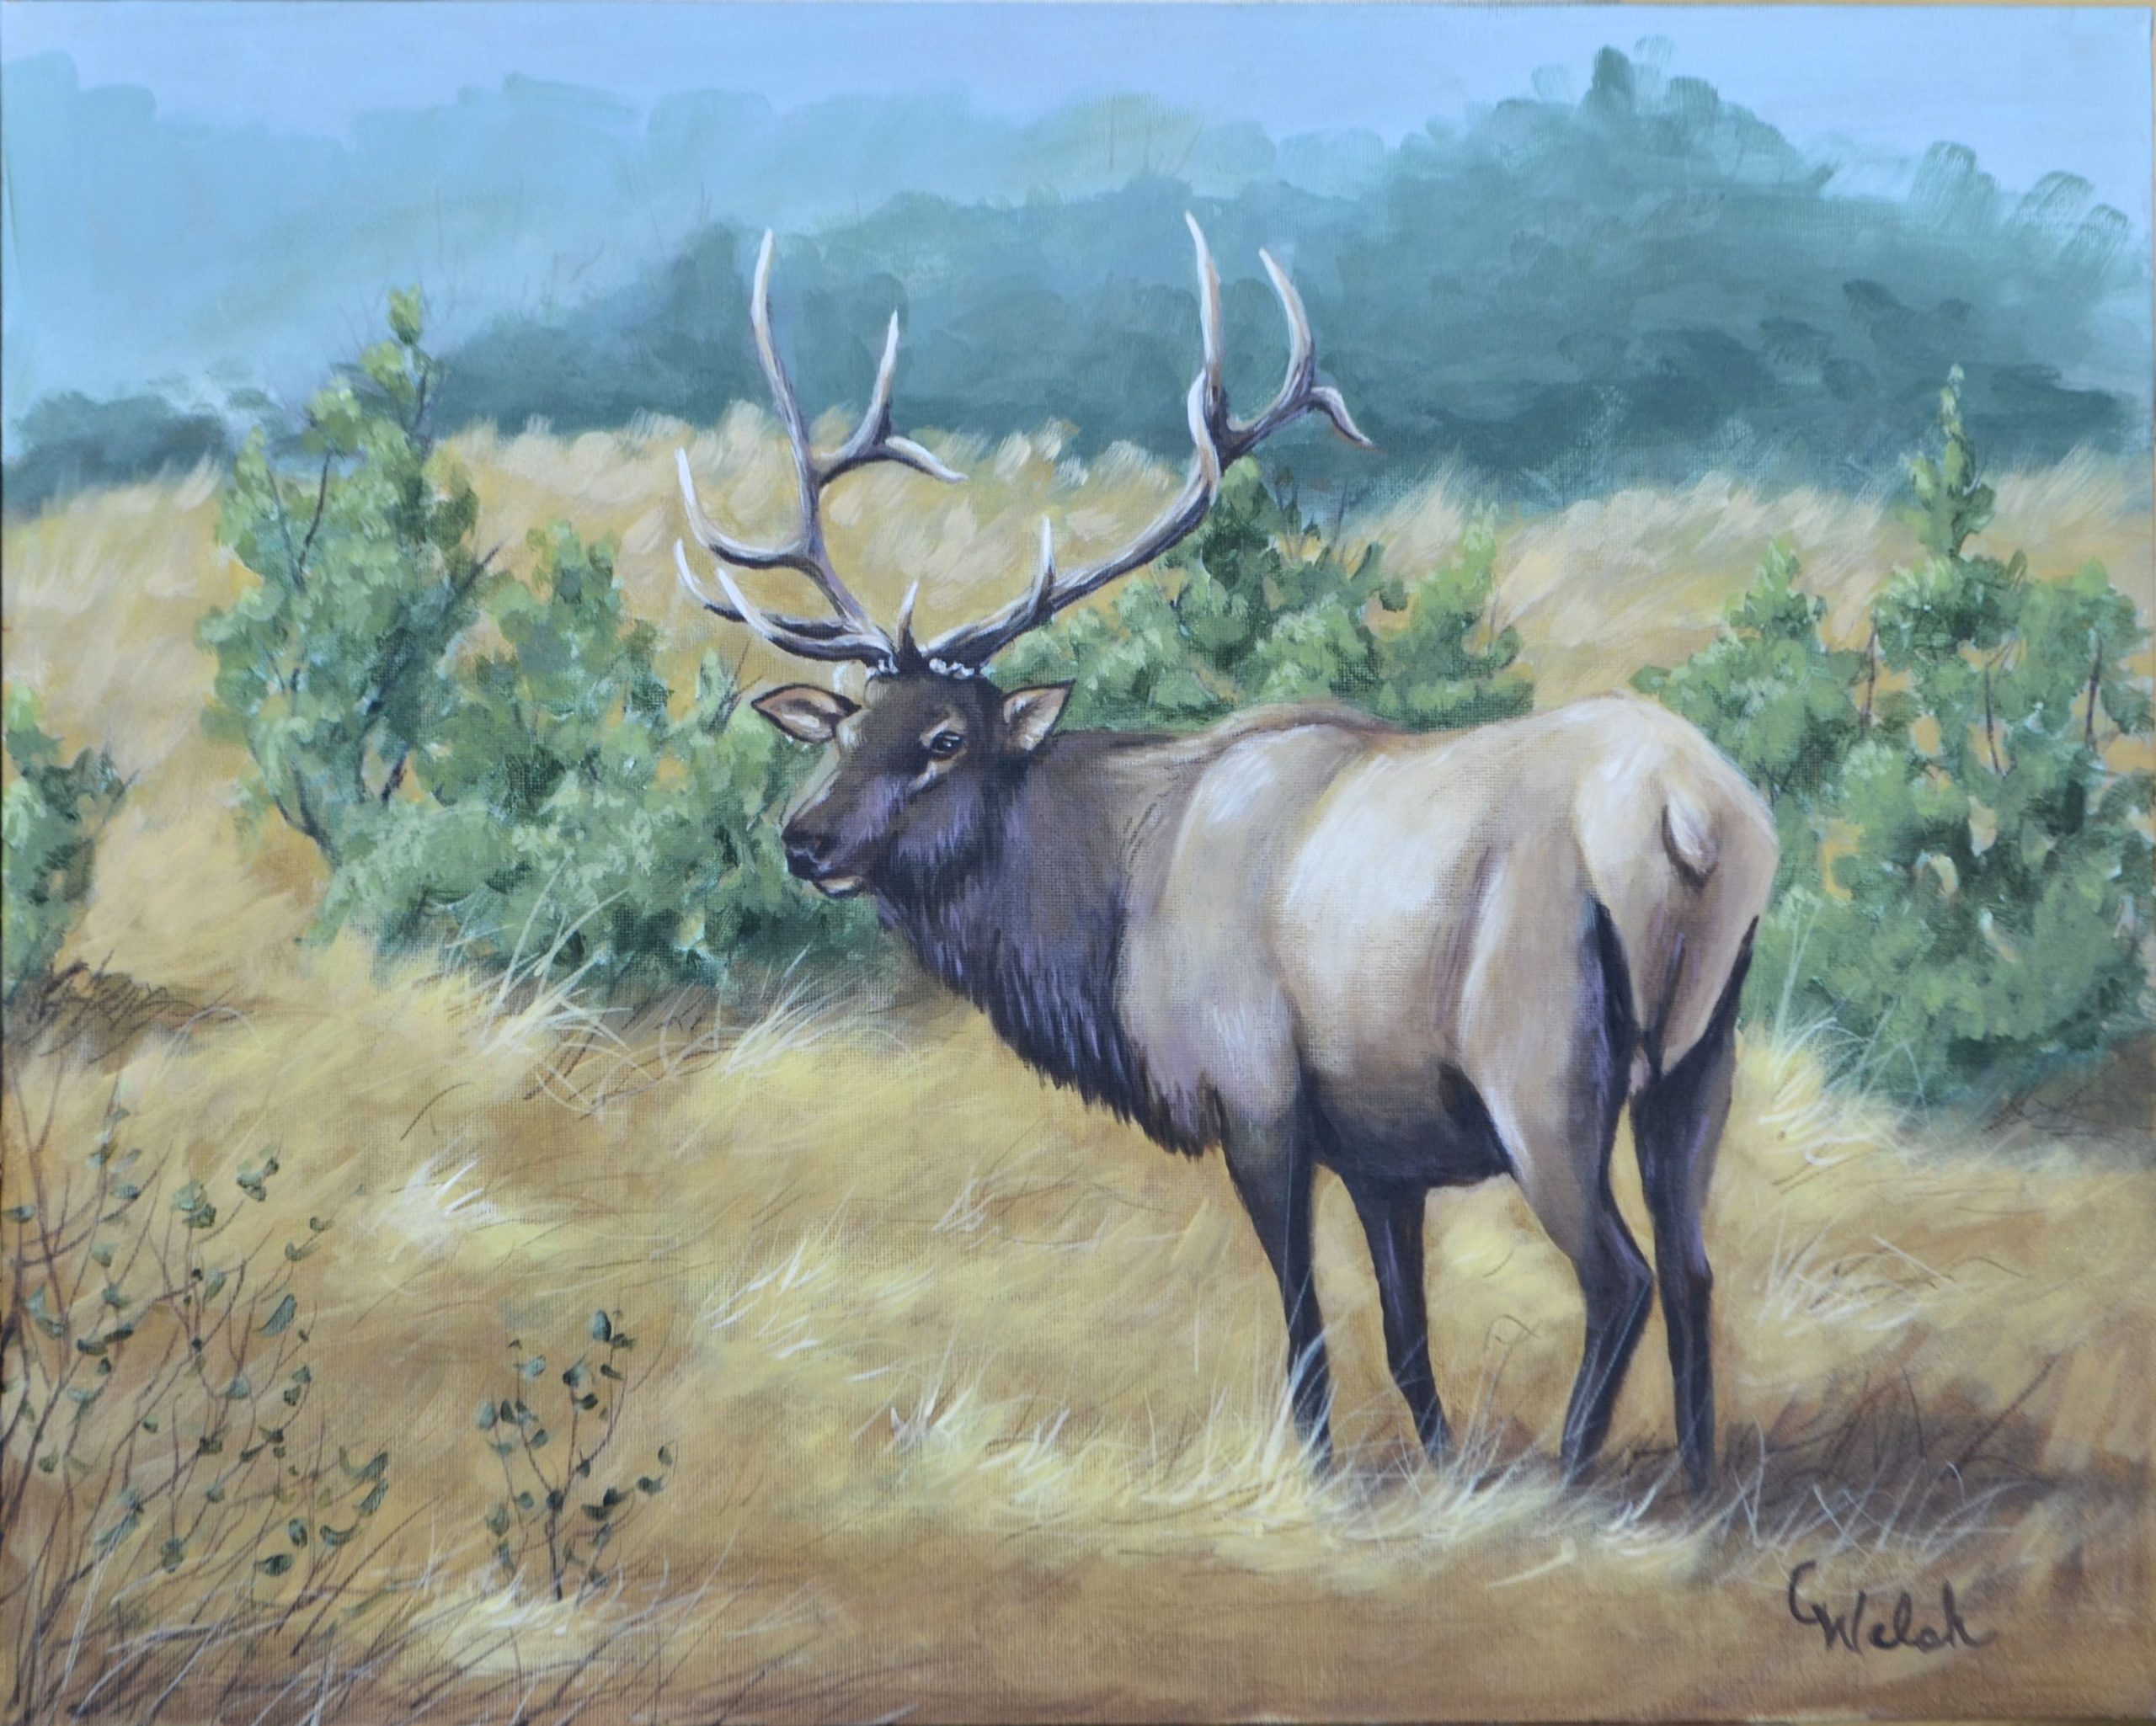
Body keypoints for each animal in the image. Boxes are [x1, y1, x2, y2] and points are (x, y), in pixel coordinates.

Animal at [671, 219, 1777, 1491]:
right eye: (844, 726)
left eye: (945, 739)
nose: (804, 839)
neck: (1112, 924)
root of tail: (1692, 819)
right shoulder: (1382, 1149)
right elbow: (1406, 1331)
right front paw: (1440, 1468)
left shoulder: (1258, 1095)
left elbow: (1304, 1322)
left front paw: (1324, 1475)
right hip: (1700, 1059)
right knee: (1695, 1268)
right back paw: (1699, 1479)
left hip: (1540, 1059)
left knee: (1620, 1275)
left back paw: (1569, 1477)